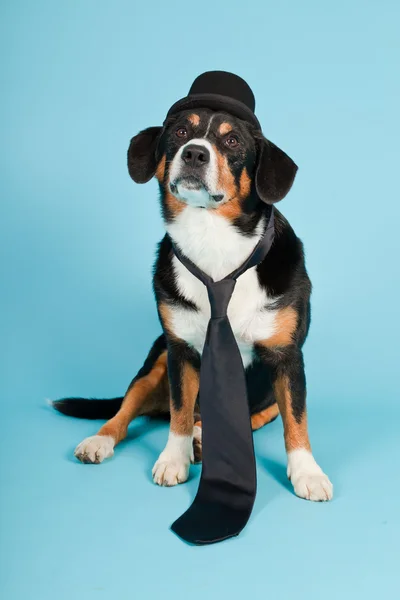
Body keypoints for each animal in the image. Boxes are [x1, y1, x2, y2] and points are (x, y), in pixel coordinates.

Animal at [54, 104, 334, 502]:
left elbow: (296, 420)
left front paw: (307, 472)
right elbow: (180, 412)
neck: (213, 241)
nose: (195, 154)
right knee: (127, 411)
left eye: (233, 141)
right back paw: (101, 440)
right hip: (154, 363)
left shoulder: (287, 357)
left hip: (264, 400)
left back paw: (204, 439)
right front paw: (174, 458)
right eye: (181, 132)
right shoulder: (180, 351)